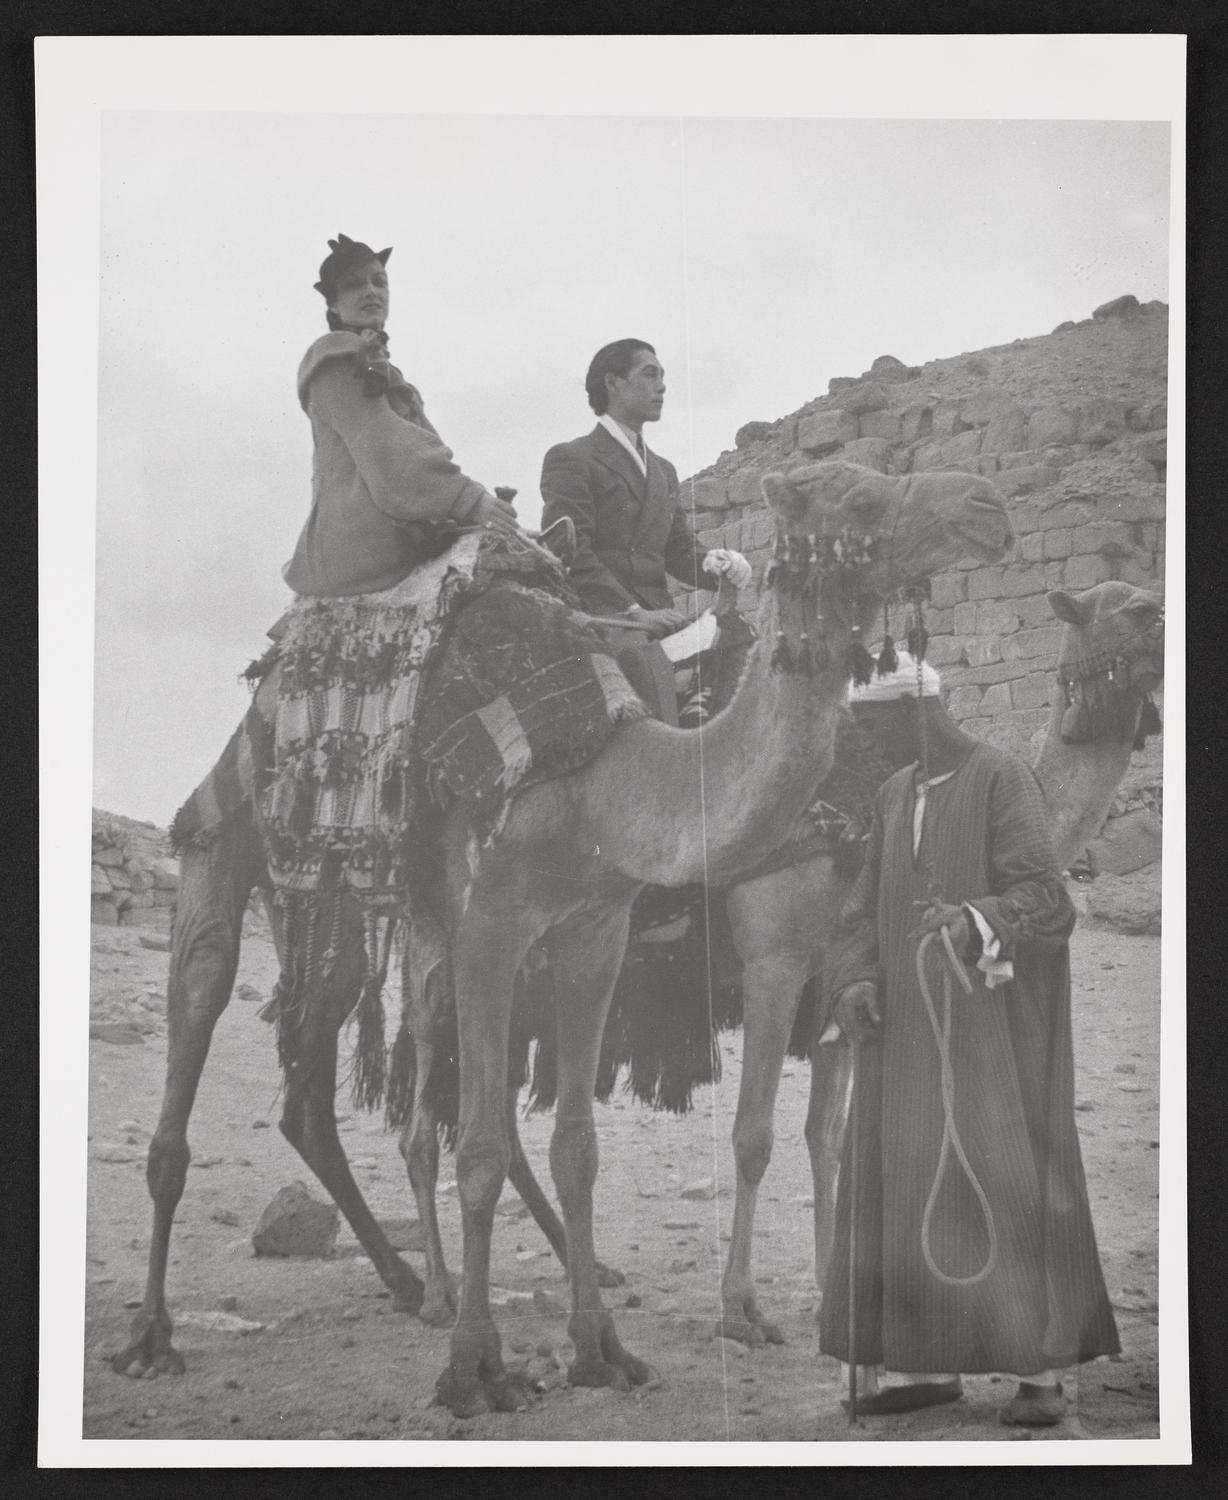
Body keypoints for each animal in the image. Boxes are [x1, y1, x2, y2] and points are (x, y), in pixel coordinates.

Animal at [107, 456, 1007, 1404]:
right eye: (861, 495)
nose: (988, 505)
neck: (601, 769)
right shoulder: (516, 925)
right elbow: (503, 1149)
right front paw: (478, 1364)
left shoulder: (600, 930)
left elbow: (590, 1144)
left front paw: (601, 1348)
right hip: (235, 834)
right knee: (210, 999)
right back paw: (159, 1331)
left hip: (361, 916)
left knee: (328, 1097)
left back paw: (417, 1281)